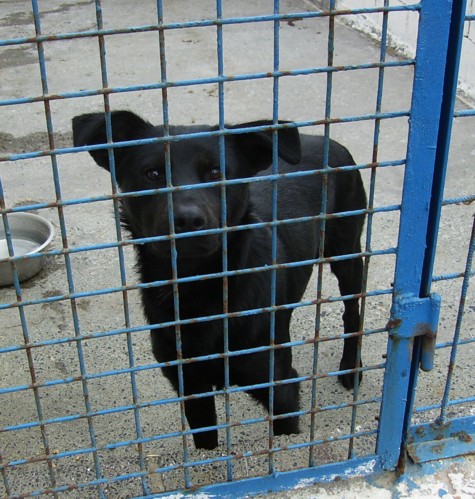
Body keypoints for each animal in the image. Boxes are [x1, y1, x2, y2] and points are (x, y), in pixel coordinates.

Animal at [72, 111, 366, 452]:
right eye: (152, 173)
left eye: (216, 172)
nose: (187, 220)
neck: (199, 290)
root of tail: (324, 139)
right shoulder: (191, 387)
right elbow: (206, 443)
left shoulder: (281, 387)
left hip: (346, 252)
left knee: (352, 311)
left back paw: (351, 367)